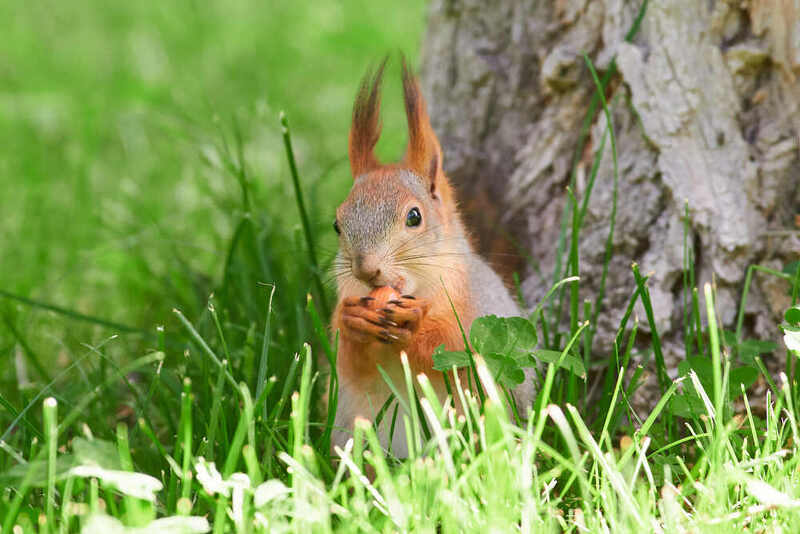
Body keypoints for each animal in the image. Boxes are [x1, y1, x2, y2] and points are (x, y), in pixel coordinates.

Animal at [331, 58, 535, 456]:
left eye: (414, 216)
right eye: (337, 224)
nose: (366, 269)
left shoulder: (475, 310)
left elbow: (458, 352)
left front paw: (415, 323)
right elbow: (349, 362)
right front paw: (353, 320)